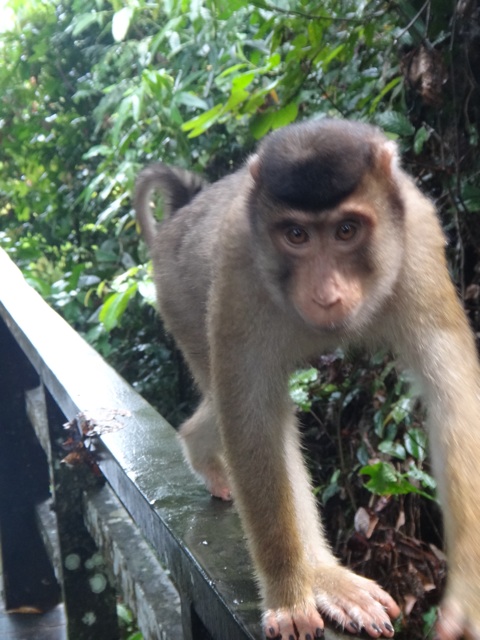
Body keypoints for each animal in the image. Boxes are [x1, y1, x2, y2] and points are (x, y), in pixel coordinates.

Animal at [133, 117, 480, 636]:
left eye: (346, 230)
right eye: (295, 234)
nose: (325, 293)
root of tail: (184, 211)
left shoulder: (419, 238)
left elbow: (452, 398)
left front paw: (470, 597)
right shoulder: (239, 258)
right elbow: (252, 416)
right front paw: (288, 595)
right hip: (179, 297)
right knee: (238, 399)